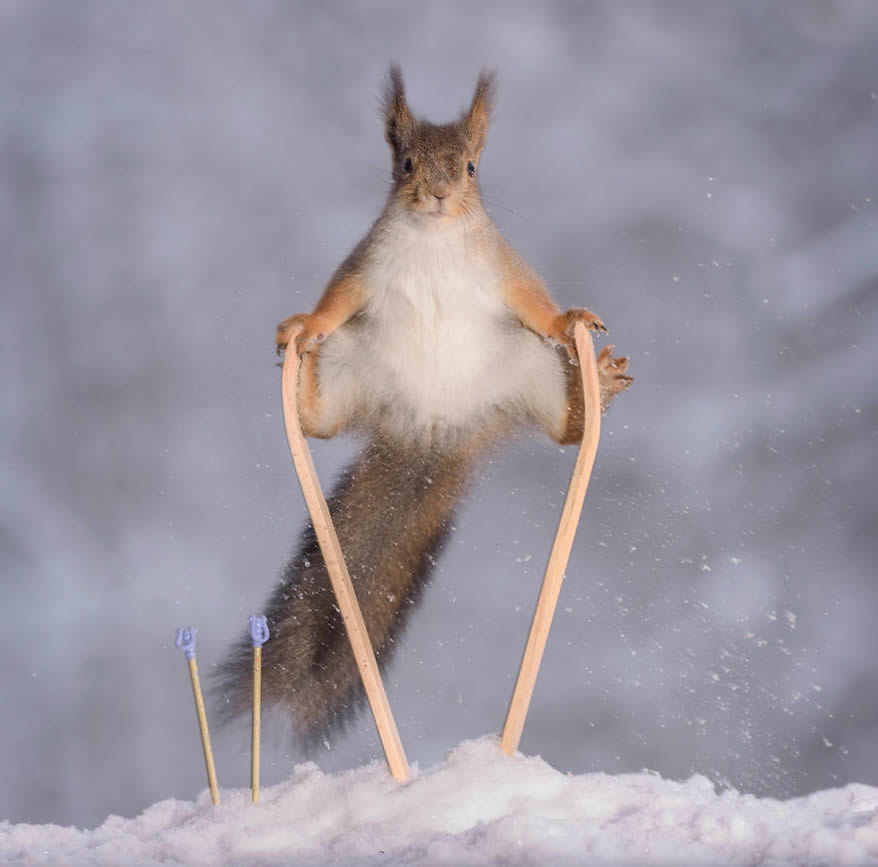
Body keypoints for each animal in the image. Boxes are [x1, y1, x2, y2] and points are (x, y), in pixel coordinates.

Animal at [219, 66, 632, 744]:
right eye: (407, 163)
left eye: (470, 168)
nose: (438, 196)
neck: (436, 238)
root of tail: (434, 433)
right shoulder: (362, 268)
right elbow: (333, 301)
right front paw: (302, 323)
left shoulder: (505, 269)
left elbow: (538, 304)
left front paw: (572, 317)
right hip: (349, 366)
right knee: (320, 424)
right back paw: (300, 384)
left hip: (535, 371)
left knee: (566, 431)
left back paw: (594, 383)